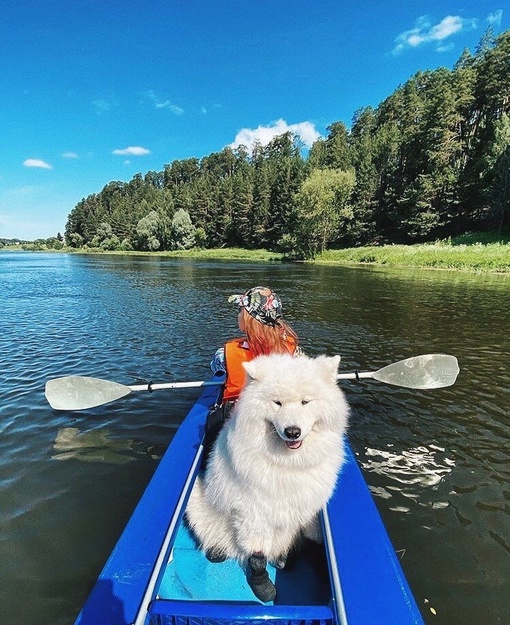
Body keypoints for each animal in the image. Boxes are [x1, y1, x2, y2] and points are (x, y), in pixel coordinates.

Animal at [185, 352, 348, 600]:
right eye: (277, 402)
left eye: (305, 402)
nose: (293, 432)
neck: (288, 464)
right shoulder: (253, 510)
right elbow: (257, 554)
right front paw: (262, 584)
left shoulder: (309, 506)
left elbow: (313, 537)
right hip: (196, 501)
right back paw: (217, 550)